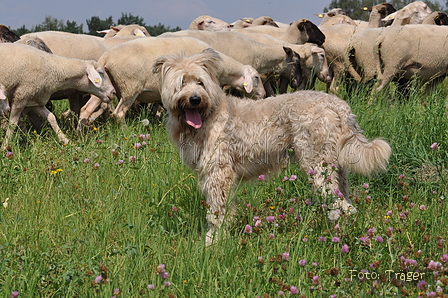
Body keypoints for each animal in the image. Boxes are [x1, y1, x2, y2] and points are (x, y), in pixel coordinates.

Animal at [79, 36, 266, 124]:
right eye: (256, 77)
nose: (264, 95)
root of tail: (106, 57)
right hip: (130, 87)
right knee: (118, 114)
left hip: (103, 88)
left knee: (85, 109)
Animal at [152, 49, 390, 244]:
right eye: (182, 83)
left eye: (200, 83)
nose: (194, 99)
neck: (208, 113)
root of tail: (338, 105)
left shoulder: (218, 173)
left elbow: (217, 211)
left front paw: (213, 240)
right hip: (336, 167)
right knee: (345, 200)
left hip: (317, 165)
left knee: (344, 207)